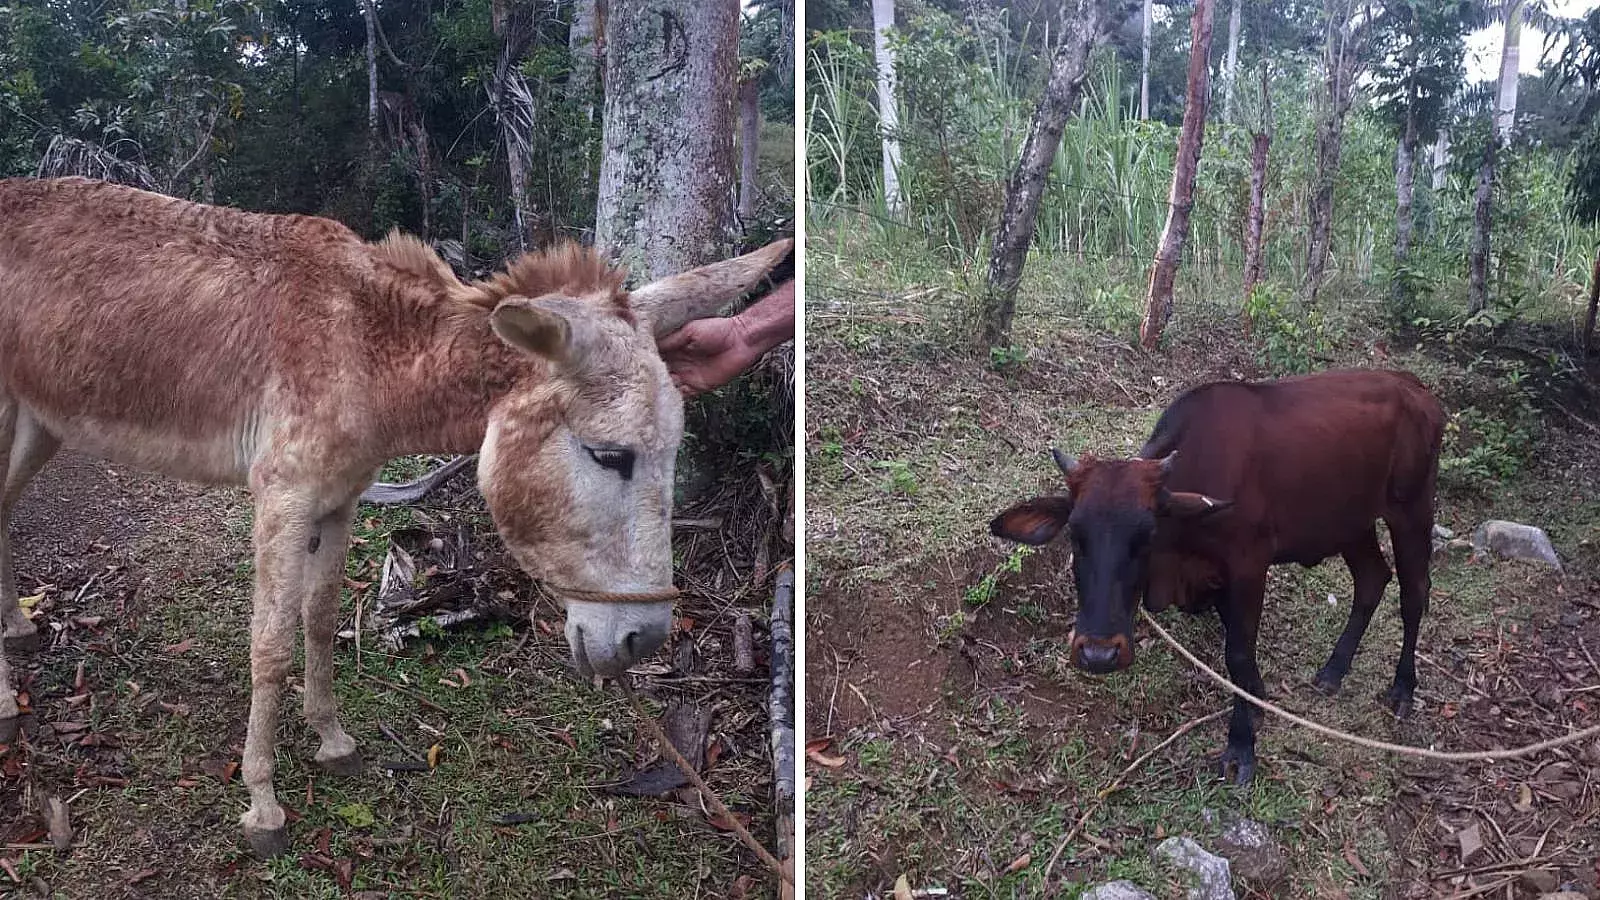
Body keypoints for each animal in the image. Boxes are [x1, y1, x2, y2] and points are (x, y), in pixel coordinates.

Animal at [0, 176, 790, 851]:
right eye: (610, 456)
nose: (644, 639)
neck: (367, 351)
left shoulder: (340, 497)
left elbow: (320, 618)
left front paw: (331, 742)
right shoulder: (281, 498)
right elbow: (270, 646)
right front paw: (263, 804)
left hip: (42, 419)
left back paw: (16, 638)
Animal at [992, 368, 1446, 781]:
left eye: (1146, 535)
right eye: (1075, 534)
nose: (1098, 654)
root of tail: (1415, 387)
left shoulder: (1248, 565)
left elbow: (1238, 652)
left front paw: (1241, 746)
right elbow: (1238, 647)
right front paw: (1257, 700)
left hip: (1412, 509)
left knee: (1414, 593)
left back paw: (1403, 688)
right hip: (1350, 522)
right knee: (1372, 579)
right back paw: (1334, 670)